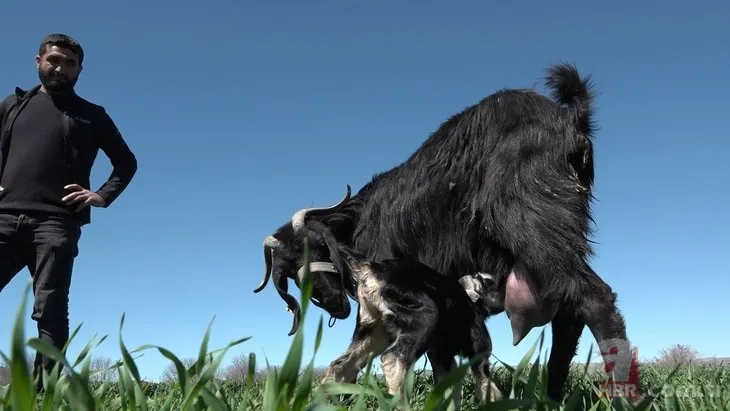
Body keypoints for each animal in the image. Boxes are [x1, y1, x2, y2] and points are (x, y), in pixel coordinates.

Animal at [322, 246, 504, 408]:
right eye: (491, 283)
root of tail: (373, 267)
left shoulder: (442, 359)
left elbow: (451, 392)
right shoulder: (480, 352)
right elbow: (486, 384)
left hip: (372, 334)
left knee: (340, 365)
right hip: (424, 318)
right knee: (392, 360)